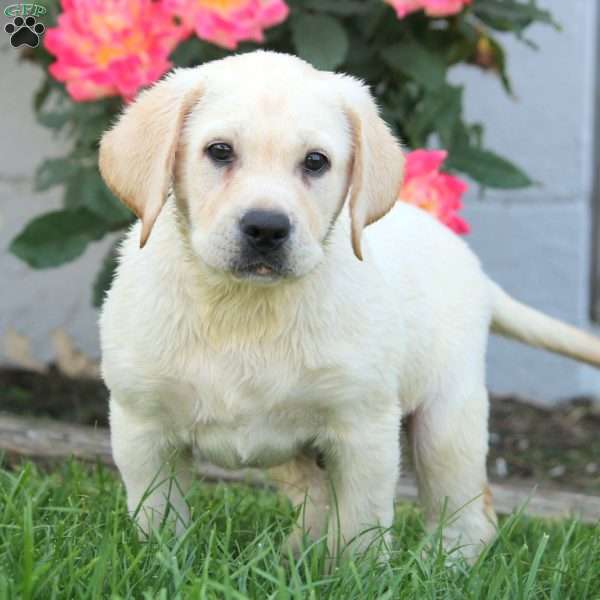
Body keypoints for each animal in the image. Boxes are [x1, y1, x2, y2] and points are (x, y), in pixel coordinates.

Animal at [99, 49, 600, 560]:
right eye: (219, 151)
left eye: (315, 162)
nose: (266, 228)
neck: (245, 307)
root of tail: (475, 270)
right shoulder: (142, 427)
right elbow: (159, 518)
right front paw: (160, 561)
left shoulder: (364, 429)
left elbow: (360, 527)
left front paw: (360, 570)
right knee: (317, 497)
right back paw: (293, 556)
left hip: (447, 418)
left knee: (467, 510)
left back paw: (446, 562)